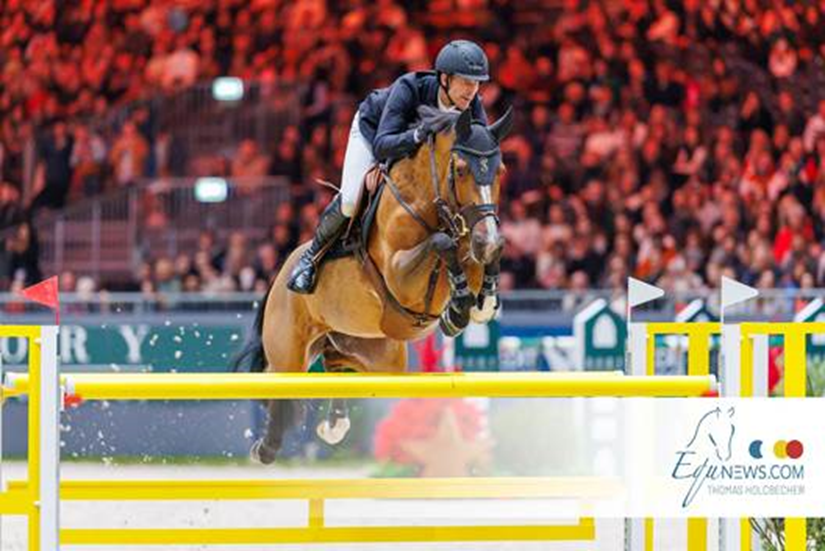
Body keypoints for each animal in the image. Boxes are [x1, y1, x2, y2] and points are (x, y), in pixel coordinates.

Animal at [238, 106, 514, 464]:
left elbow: (475, 257)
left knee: (336, 363)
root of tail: (279, 274)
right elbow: (442, 243)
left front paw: (481, 300)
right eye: (462, 170)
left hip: (375, 353)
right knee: (278, 384)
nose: (486, 240)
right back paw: (265, 447)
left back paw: (334, 423)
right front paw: (457, 308)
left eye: (500, 171)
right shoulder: (399, 277)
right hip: (290, 351)